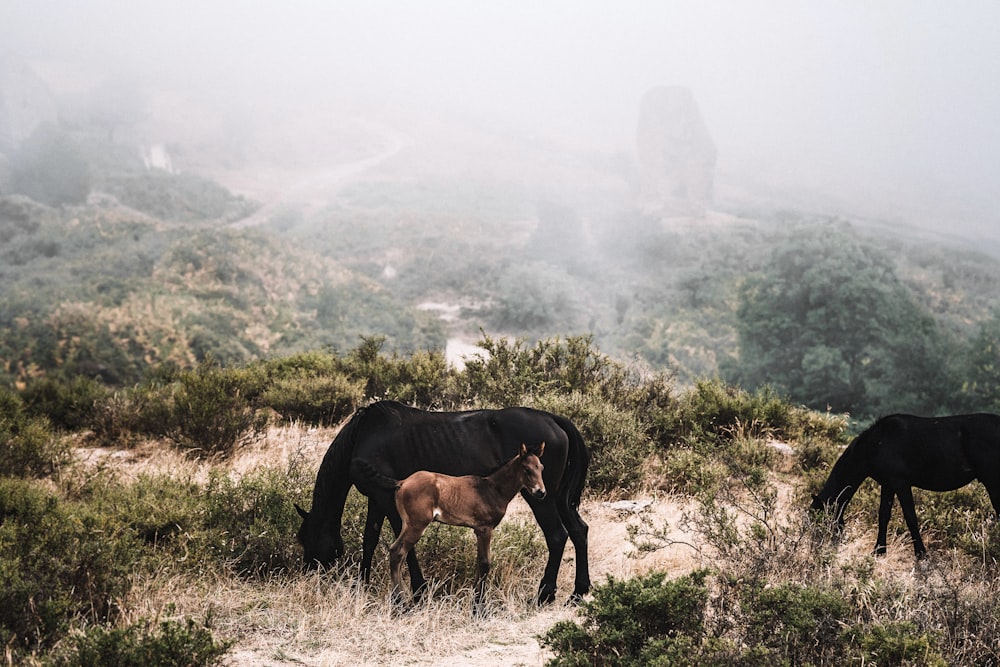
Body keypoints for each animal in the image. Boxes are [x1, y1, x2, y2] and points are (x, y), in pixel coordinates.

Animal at [296, 402, 592, 604]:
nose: (309, 574)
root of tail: (553, 419)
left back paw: (544, 595)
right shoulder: (377, 500)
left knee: (557, 536)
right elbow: (370, 539)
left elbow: (400, 544)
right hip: (558, 497)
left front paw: (418, 591)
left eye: (306, 540)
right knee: (579, 530)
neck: (363, 435)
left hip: (542, 497)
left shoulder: (388, 501)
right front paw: (362, 585)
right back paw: (578, 592)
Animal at [808, 414, 1000, 556]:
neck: (876, 443)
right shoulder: (888, 485)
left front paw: (920, 553)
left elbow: (910, 516)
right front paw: (879, 551)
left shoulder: (900, 483)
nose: (817, 545)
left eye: (819, 517)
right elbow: (883, 515)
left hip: (993, 482)